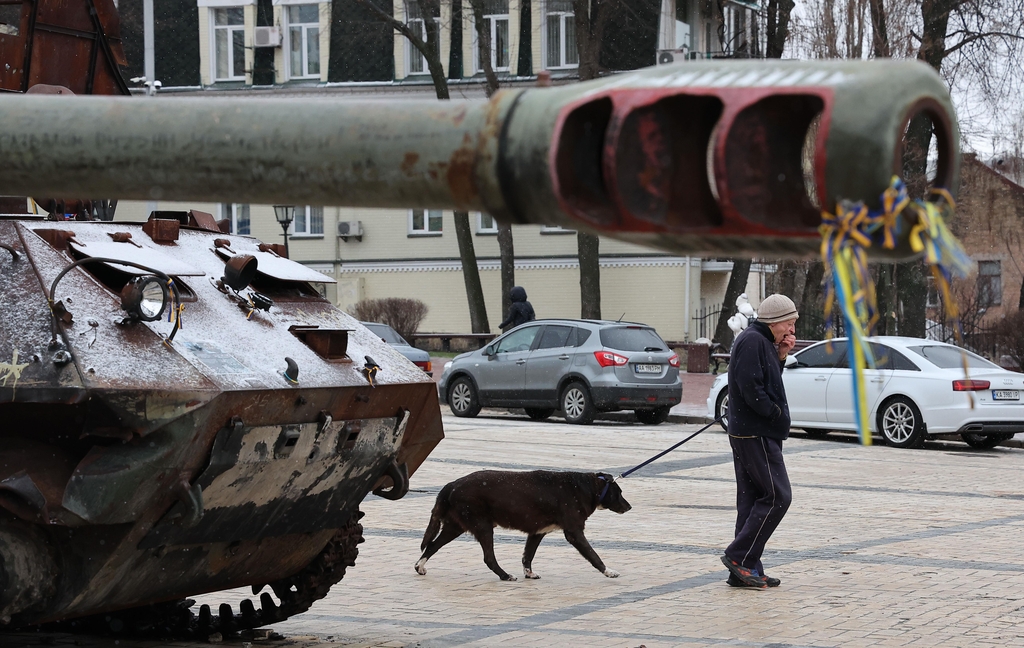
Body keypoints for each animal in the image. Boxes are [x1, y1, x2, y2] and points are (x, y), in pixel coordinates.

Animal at [411, 466, 626, 577]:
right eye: (619, 492)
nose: (629, 506)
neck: (585, 488)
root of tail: (452, 484)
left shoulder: (537, 533)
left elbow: (527, 556)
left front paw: (529, 574)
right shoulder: (574, 533)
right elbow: (593, 555)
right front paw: (608, 571)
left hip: (455, 526)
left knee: (432, 546)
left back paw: (419, 566)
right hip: (483, 526)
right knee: (488, 558)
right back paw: (505, 576)